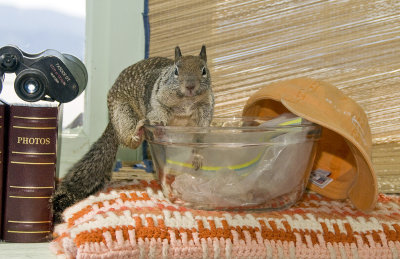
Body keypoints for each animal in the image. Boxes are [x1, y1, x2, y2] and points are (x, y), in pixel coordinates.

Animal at [53, 46, 216, 223]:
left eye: (204, 70)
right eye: (176, 70)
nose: (190, 86)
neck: (186, 102)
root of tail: (112, 120)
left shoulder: (204, 114)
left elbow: (200, 138)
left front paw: (198, 157)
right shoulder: (156, 103)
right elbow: (158, 113)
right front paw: (160, 126)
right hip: (124, 114)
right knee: (128, 140)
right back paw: (137, 133)